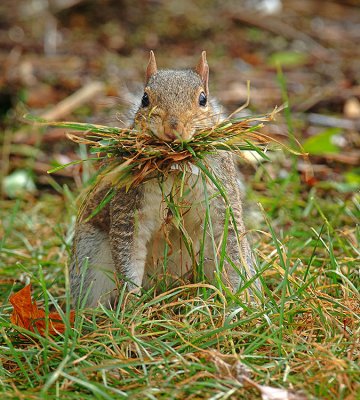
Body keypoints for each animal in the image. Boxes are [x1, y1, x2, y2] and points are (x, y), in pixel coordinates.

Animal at [69, 50, 256, 306]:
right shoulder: (129, 204)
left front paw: (242, 300)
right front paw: (132, 304)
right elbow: (129, 252)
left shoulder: (221, 194)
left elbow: (230, 245)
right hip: (90, 258)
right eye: (144, 99)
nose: (172, 128)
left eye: (203, 99)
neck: (176, 165)